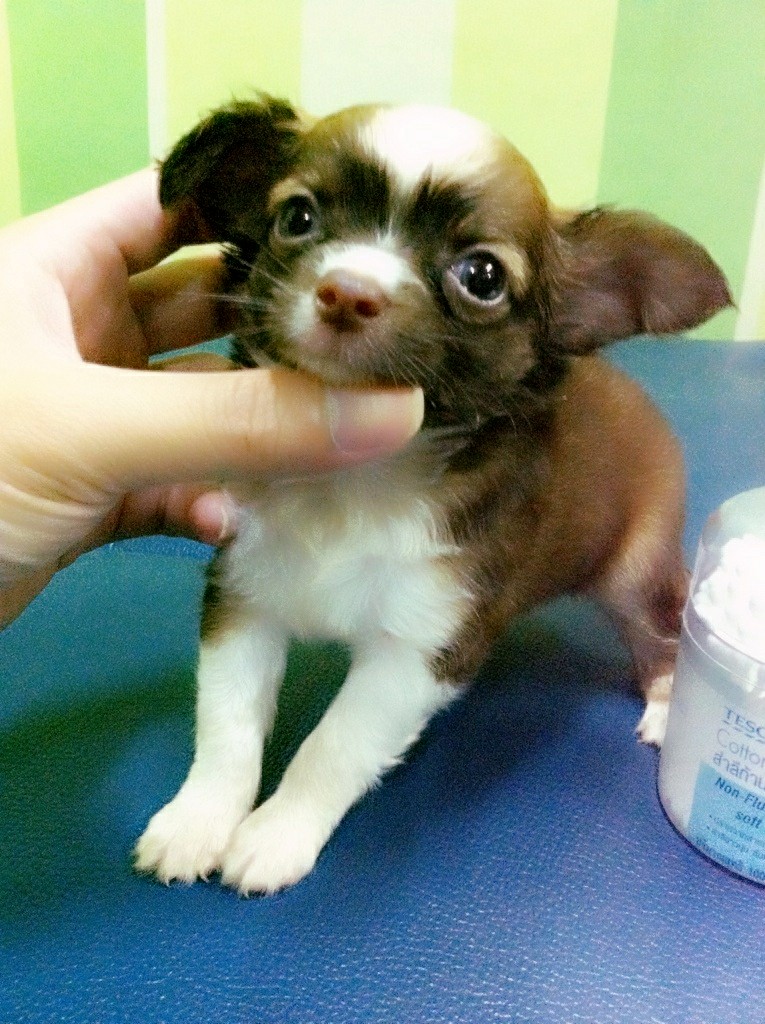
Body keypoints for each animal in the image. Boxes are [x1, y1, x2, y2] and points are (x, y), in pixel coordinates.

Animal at [134, 96, 731, 894]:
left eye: (481, 274)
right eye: (297, 216)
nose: (348, 291)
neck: (355, 481)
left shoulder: (421, 649)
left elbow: (332, 747)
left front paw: (275, 835)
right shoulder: (244, 598)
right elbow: (227, 725)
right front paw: (198, 821)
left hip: (634, 566)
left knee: (660, 628)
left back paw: (667, 705)